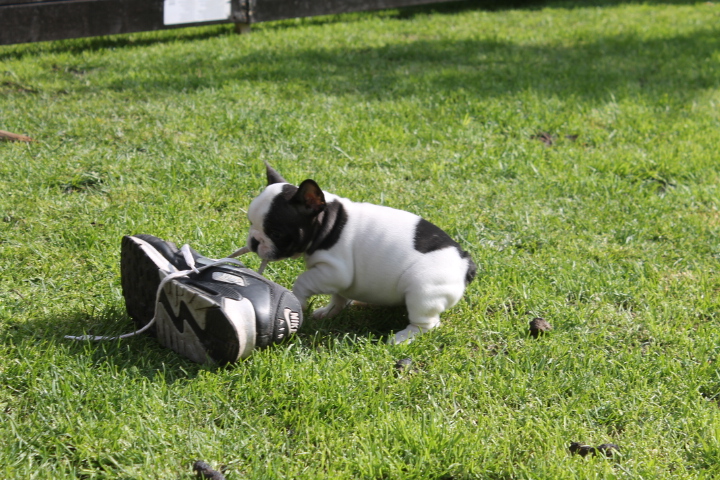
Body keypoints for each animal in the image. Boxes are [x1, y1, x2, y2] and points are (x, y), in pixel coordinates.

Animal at [245, 165, 476, 344]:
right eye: (250, 222)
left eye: (276, 233)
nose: (254, 241)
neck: (328, 223)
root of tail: (466, 263)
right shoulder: (338, 280)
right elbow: (338, 297)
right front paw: (328, 312)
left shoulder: (334, 272)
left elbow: (303, 282)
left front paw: (299, 301)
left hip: (424, 291)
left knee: (427, 323)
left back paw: (403, 337)